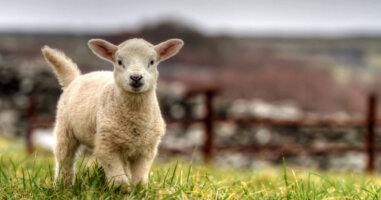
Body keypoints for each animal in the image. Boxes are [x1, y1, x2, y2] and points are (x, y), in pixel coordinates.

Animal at [40, 37, 183, 188]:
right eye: (119, 62)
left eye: (152, 61)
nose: (136, 77)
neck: (135, 117)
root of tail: (76, 78)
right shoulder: (106, 144)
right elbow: (118, 178)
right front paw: (122, 189)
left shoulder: (146, 149)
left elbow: (139, 179)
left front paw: (138, 190)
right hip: (65, 129)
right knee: (64, 158)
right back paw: (63, 185)